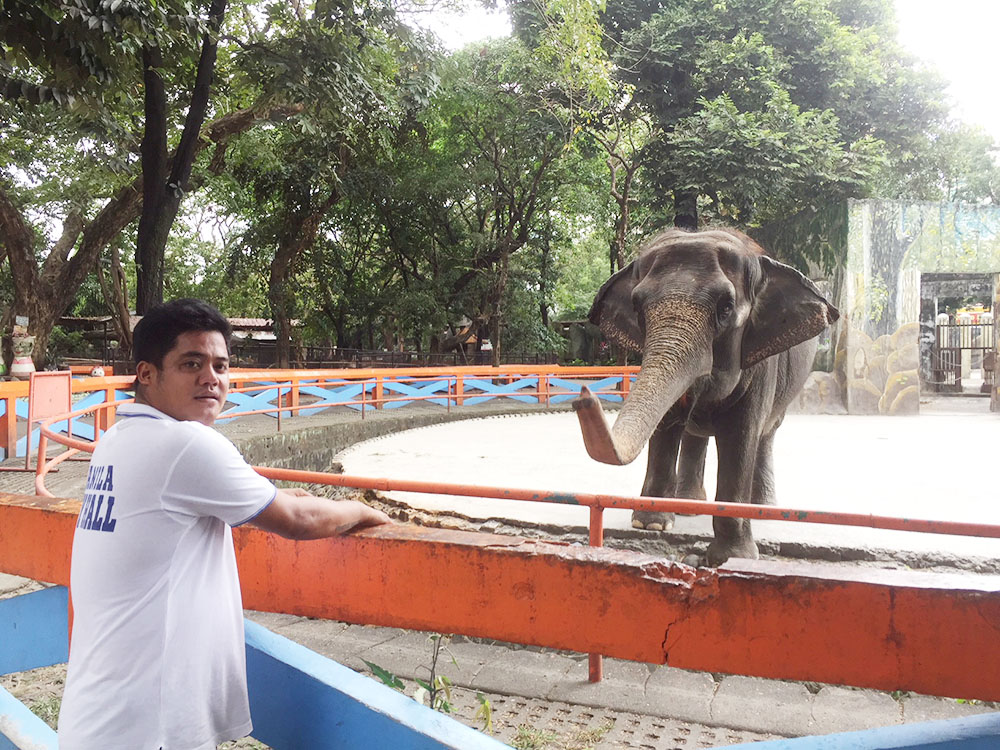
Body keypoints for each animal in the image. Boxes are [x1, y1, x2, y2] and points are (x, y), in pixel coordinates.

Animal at [572, 226, 836, 568]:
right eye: (637, 307)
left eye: (725, 308)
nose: (583, 394)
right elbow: (665, 426)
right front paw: (650, 525)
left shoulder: (761, 362)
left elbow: (740, 436)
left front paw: (734, 556)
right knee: (695, 435)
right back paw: (689, 505)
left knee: (766, 435)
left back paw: (764, 510)